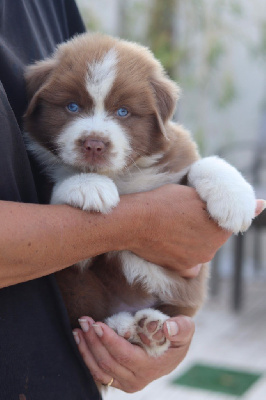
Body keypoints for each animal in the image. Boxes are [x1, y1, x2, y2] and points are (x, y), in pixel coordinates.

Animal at [23, 33, 256, 356]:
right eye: (72, 107)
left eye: (123, 112)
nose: (94, 144)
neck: (121, 175)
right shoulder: (70, 259)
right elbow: (62, 190)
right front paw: (88, 184)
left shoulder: (176, 157)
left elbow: (205, 163)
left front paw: (235, 200)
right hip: (78, 290)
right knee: (95, 315)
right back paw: (130, 326)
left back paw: (150, 328)